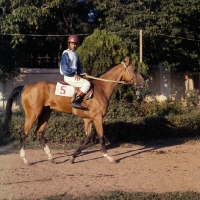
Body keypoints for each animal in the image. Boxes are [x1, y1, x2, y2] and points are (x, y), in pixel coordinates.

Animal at [3, 57, 144, 164]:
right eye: (134, 69)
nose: (142, 82)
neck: (101, 89)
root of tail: (26, 86)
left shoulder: (88, 120)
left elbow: (87, 139)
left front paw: (73, 156)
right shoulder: (98, 118)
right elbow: (101, 137)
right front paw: (108, 157)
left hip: (45, 113)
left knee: (39, 133)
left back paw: (50, 157)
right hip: (33, 114)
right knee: (23, 133)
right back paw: (25, 159)